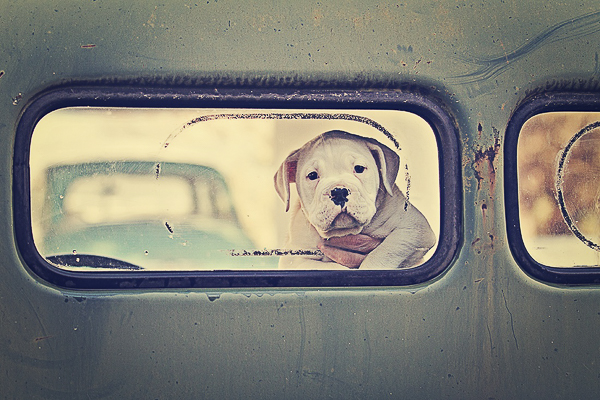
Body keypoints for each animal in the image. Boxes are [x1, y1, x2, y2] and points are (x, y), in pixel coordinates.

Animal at [276, 130, 436, 270]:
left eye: (359, 168)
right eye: (312, 175)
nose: (339, 192)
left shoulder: (414, 228)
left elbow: (386, 251)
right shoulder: (294, 261)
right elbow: (331, 267)